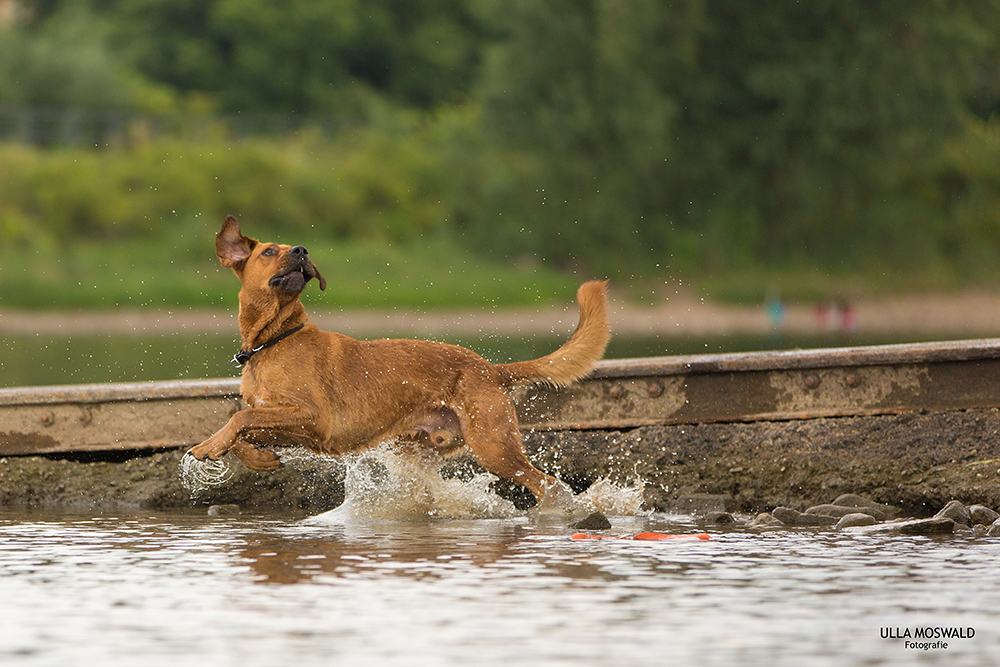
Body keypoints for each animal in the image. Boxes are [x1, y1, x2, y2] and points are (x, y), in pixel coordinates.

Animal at [187, 217, 608, 504]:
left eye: (291, 249)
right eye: (269, 251)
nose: (302, 250)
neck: (273, 341)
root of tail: (491, 369)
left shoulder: (313, 416)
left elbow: (240, 417)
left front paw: (206, 447)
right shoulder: (294, 425)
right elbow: (242, 425)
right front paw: (256, 459)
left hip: (494, 446)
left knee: (548, 484)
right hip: (419, 451)